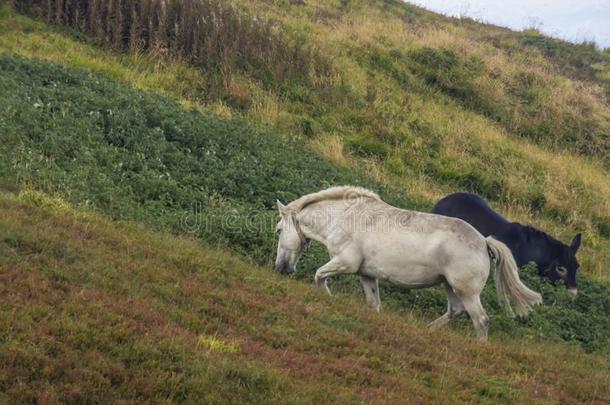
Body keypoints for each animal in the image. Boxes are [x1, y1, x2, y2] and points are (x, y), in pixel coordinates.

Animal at [274, 186, 540, 338]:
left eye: (278, 230)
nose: (280, 268)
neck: (345, 217)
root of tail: (484, 242)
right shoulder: (366, 274)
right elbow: (374, 304)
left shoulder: (345, 263)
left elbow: (319, 275)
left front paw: (327, 298)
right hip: (449, 286)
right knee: (455, 311)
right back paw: (427, 331)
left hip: (466, 291)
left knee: (481, 321)